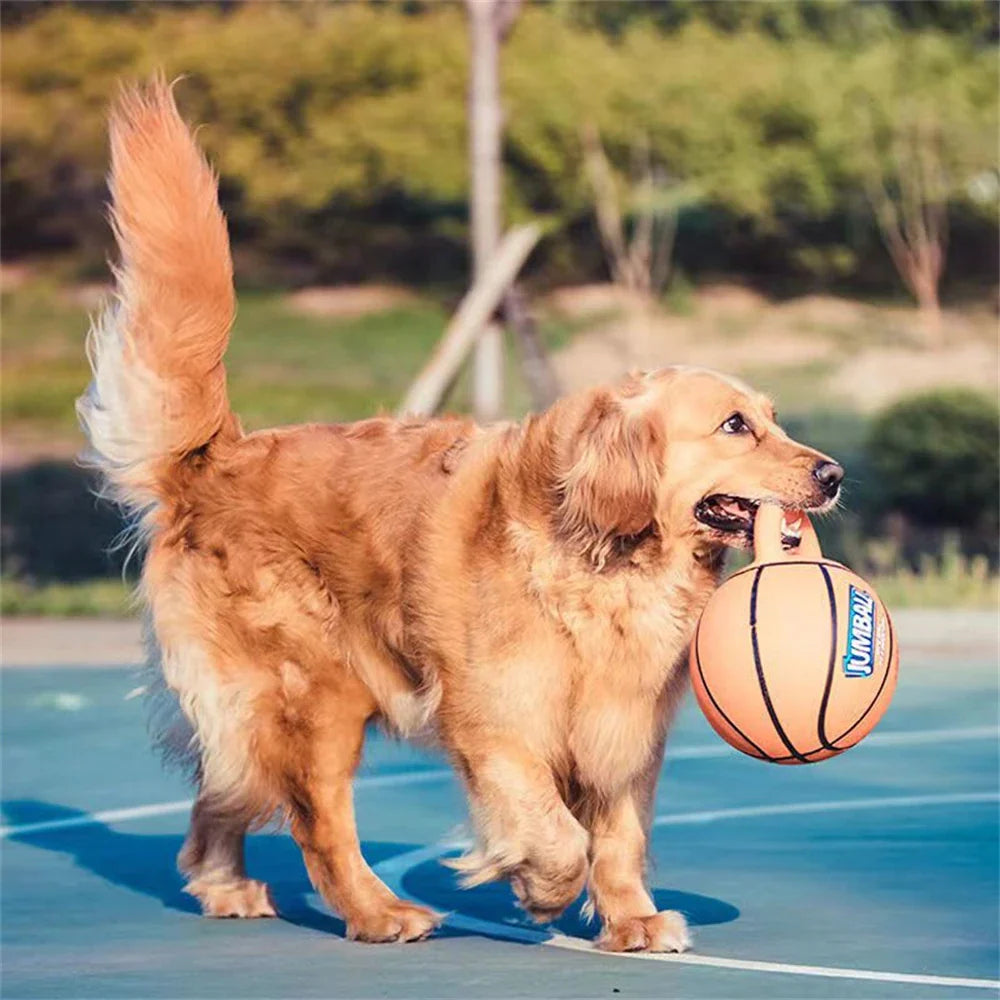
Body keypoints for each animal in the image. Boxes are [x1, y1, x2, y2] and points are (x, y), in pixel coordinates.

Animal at [80, 80, 844, 952]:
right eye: (734, 426)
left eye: (774, 419)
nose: (833, 474)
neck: (606, 562)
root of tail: (214, 459)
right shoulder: (496, 721)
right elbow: (559, 834)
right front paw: (540, 889)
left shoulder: (624, 729)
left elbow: (618, 837)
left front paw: (633, 920)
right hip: (316, 697)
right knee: (317, 821)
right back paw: (379, 912)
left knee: (224, 790)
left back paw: (227, 884)